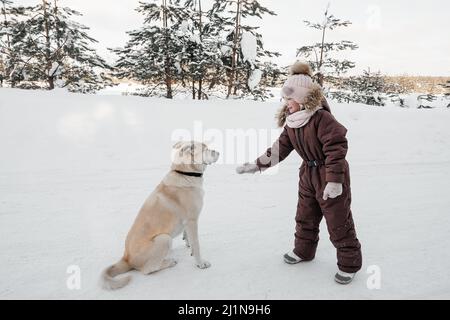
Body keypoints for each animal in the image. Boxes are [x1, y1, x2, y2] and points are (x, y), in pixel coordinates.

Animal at [102, 141, 221, 288]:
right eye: (205, 149)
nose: (218, 152)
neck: (185, 174)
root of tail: (126, 258)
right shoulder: (192, 220)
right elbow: (197, 244)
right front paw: (200, 263)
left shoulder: (187, 223)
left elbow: (189, 238)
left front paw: (188, 245)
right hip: (164, 239)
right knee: (147, 269)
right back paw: (170, 262)